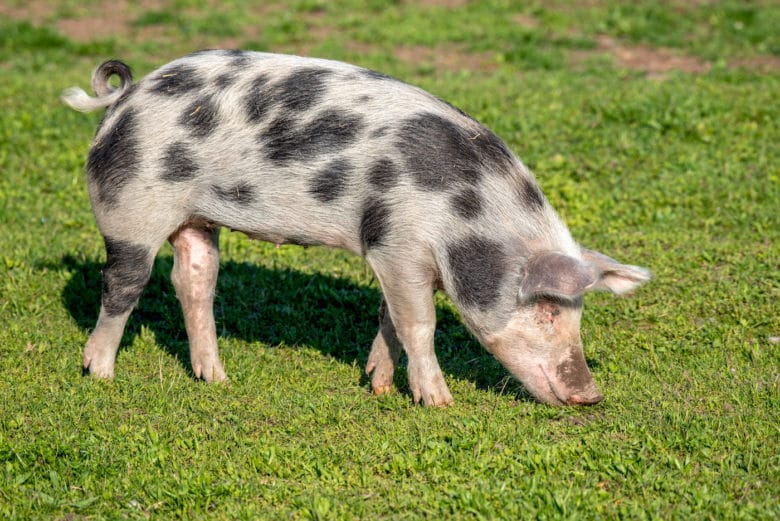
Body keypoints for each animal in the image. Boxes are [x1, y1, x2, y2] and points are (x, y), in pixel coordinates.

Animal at [61, 50, 650, 406]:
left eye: (578, 313)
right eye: (547, 311)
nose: (592, 395)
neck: (465, 215)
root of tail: (124, 98)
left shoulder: (393, 256)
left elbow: (391, 318)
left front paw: (379, 387)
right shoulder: (399, 243)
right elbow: (420, 325)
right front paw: (439, 403)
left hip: (198, 220)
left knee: (194, 281)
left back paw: (218, 379)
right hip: (131, 211)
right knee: (124, 284)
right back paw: (100, 374)